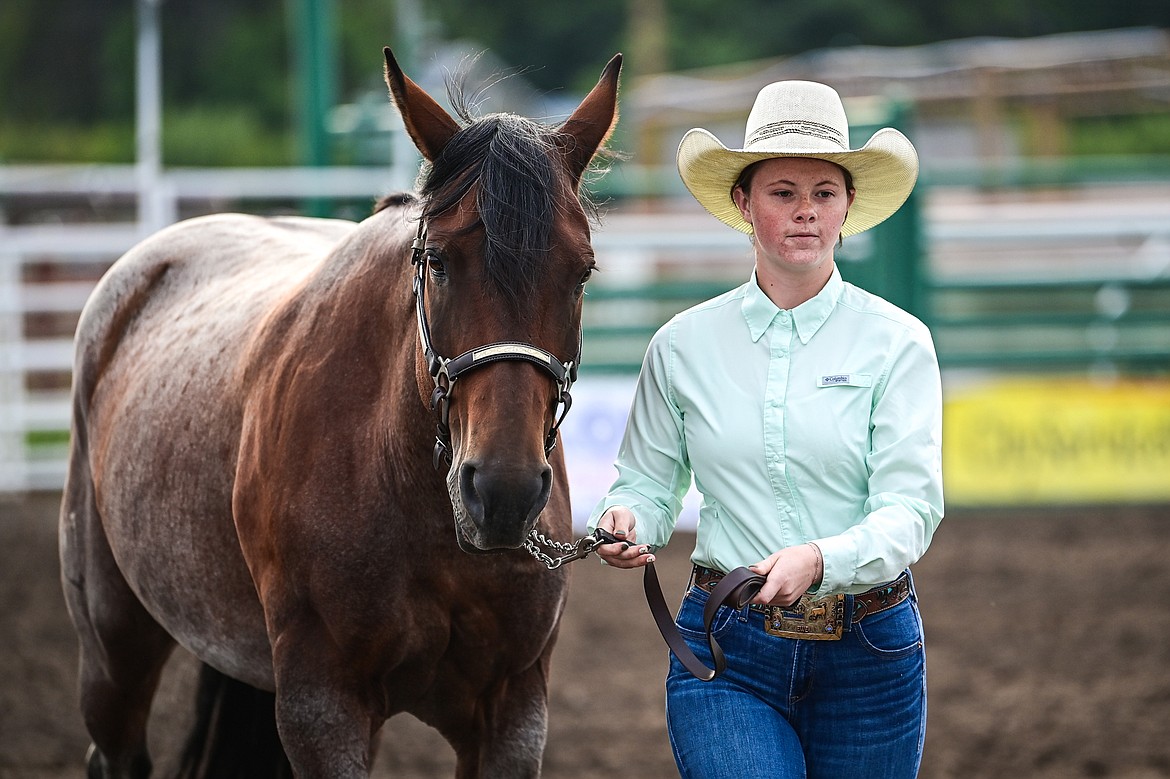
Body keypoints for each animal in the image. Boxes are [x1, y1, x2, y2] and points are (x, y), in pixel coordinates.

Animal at [57, 50, 622, 776]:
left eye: (581, 273)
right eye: (437, 261)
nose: (503, 490)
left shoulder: (513, 713)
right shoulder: (323, 709)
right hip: (113, 651)